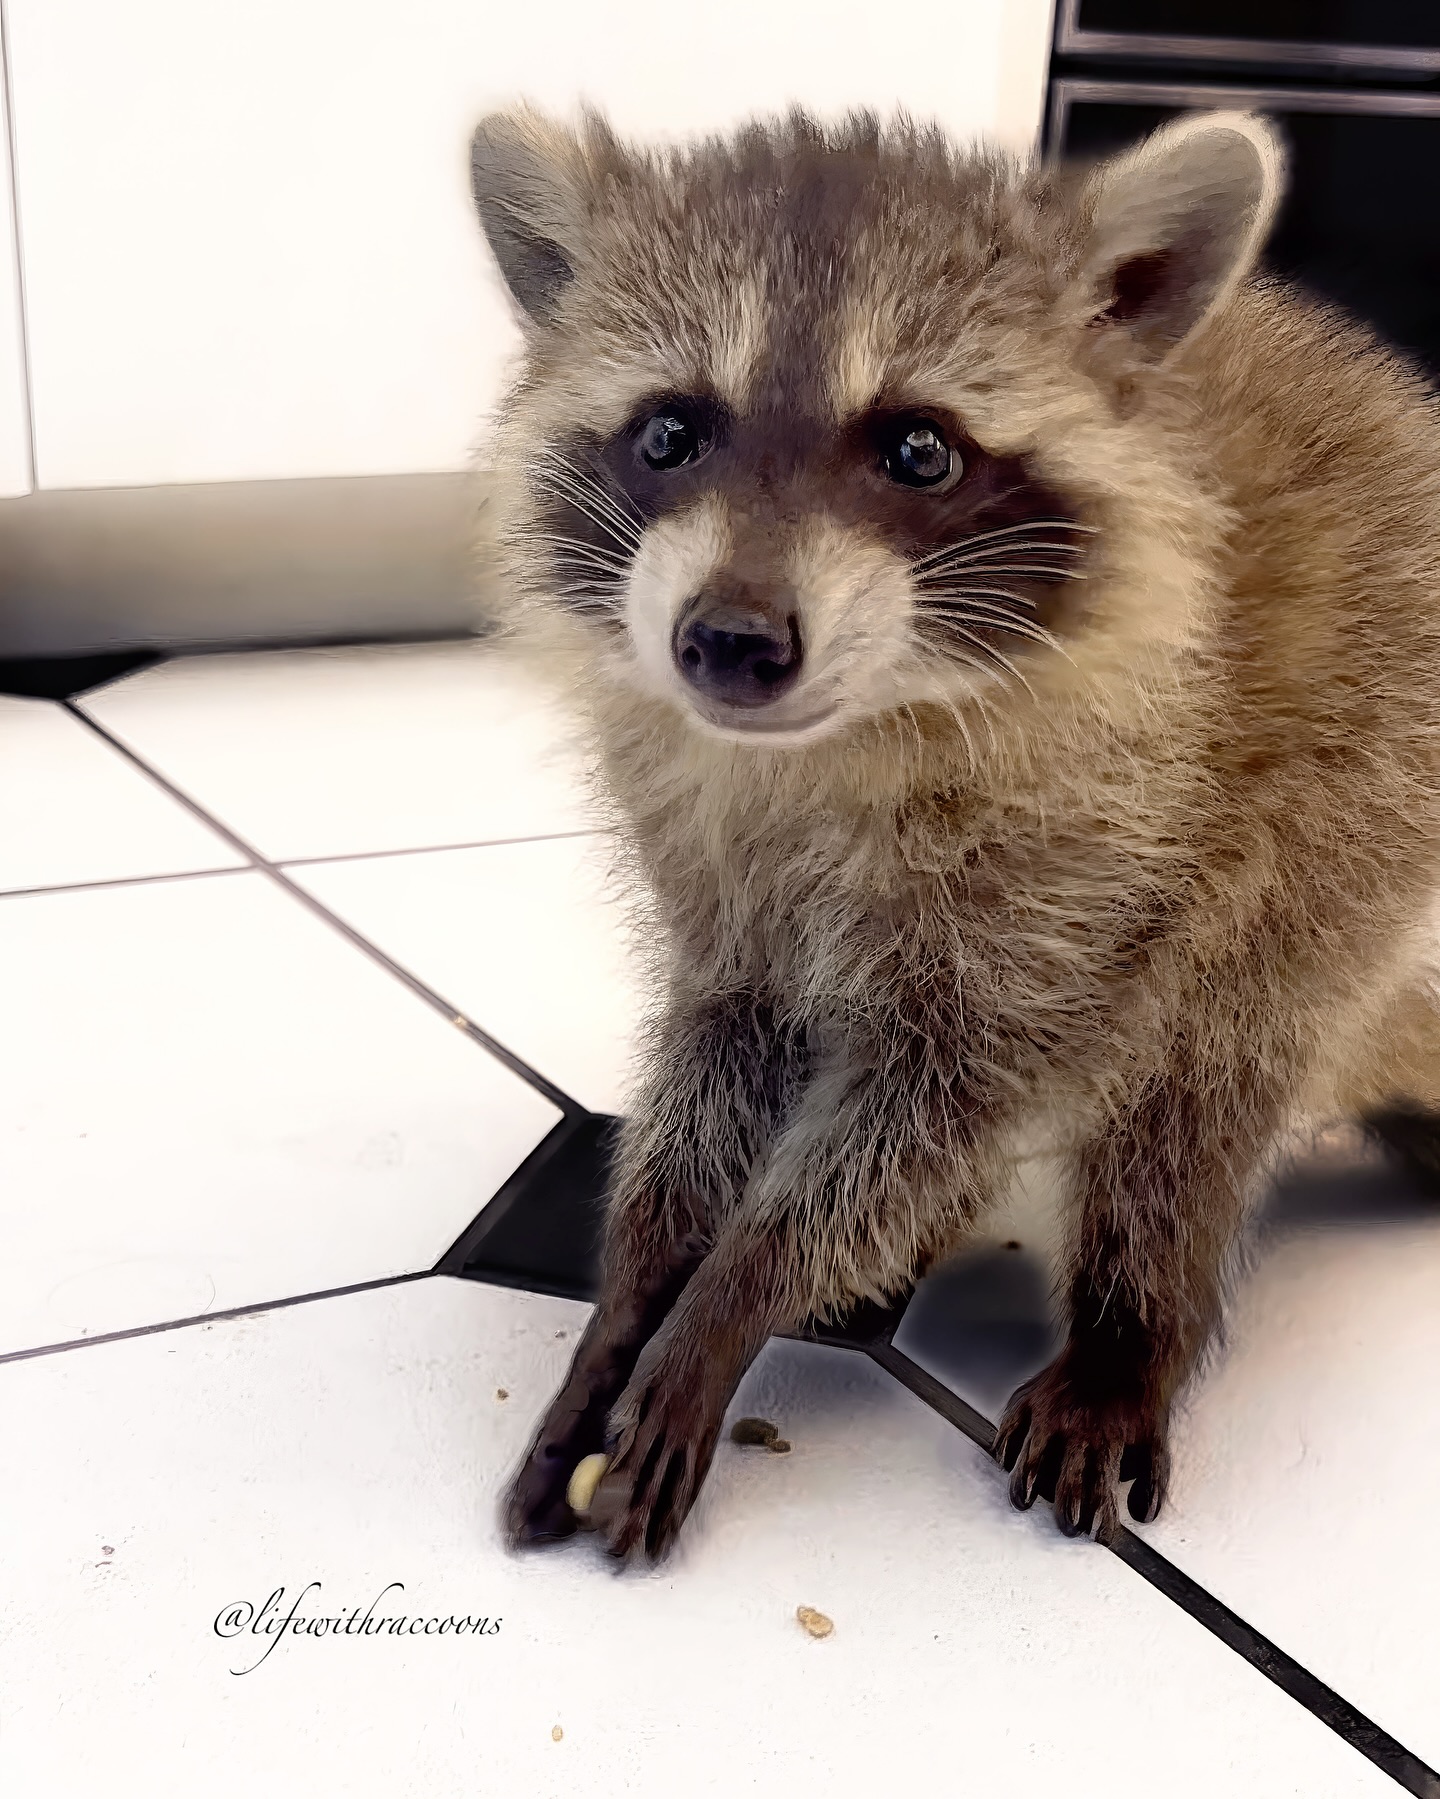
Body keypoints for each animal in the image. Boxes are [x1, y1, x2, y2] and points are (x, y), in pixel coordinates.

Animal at [469, 106, 1440, 1559]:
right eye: (670, 433)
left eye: (919, 449)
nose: (732, 640)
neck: (843, 730)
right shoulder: (716, 868)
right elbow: (720, 1055)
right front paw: (638, 1286)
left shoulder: (1089, 863)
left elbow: (931, 1108)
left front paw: (730, 1298)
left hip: (1357, 812)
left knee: (1200, 1083)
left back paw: (1130, 1324)